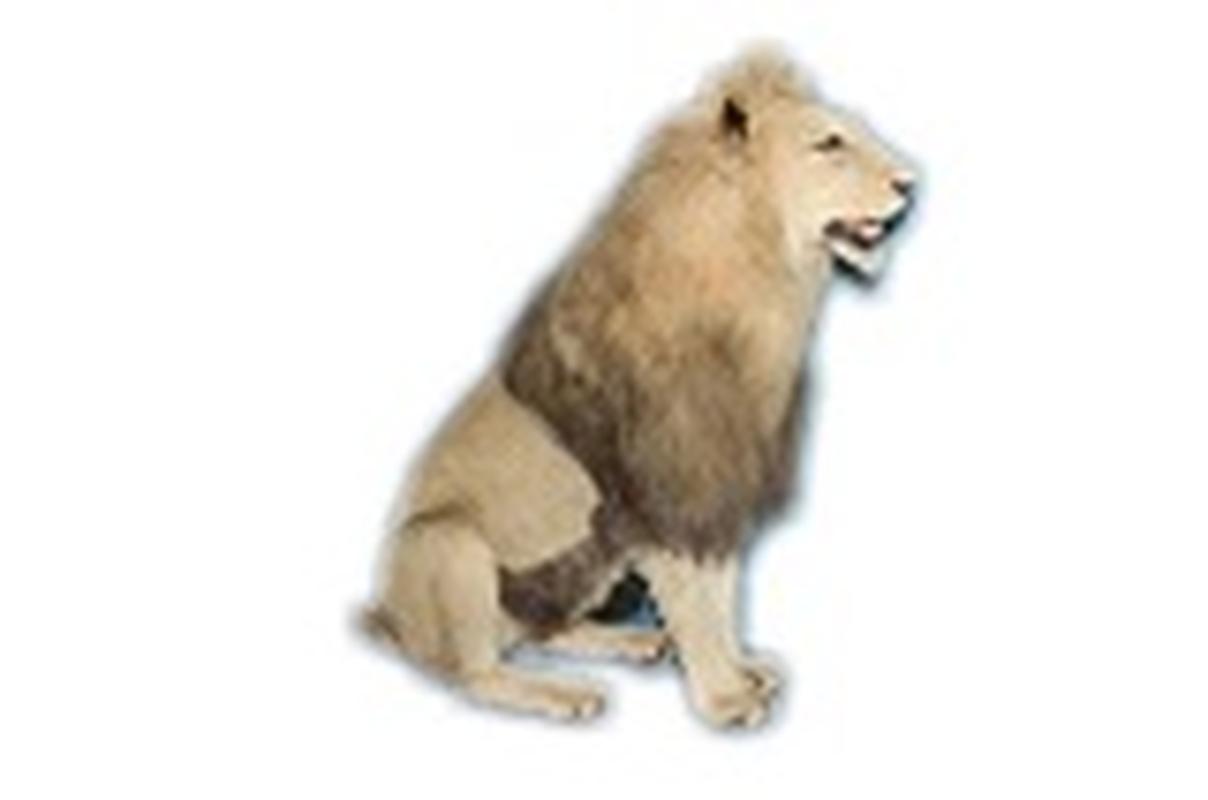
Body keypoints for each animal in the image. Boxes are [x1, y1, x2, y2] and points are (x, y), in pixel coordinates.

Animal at [360, 46, 916, 728]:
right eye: (830, 144)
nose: (911, 183)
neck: (764, 276)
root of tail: (388, 619)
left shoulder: (715, 479)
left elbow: (721, 592)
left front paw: (741, 668)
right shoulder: (670, 482)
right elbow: (696, 599)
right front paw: (726, 697)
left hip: (593, 553)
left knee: (541, 629)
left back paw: (629, 641)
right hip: (444, 540)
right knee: (478, 673)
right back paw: (564, 693)